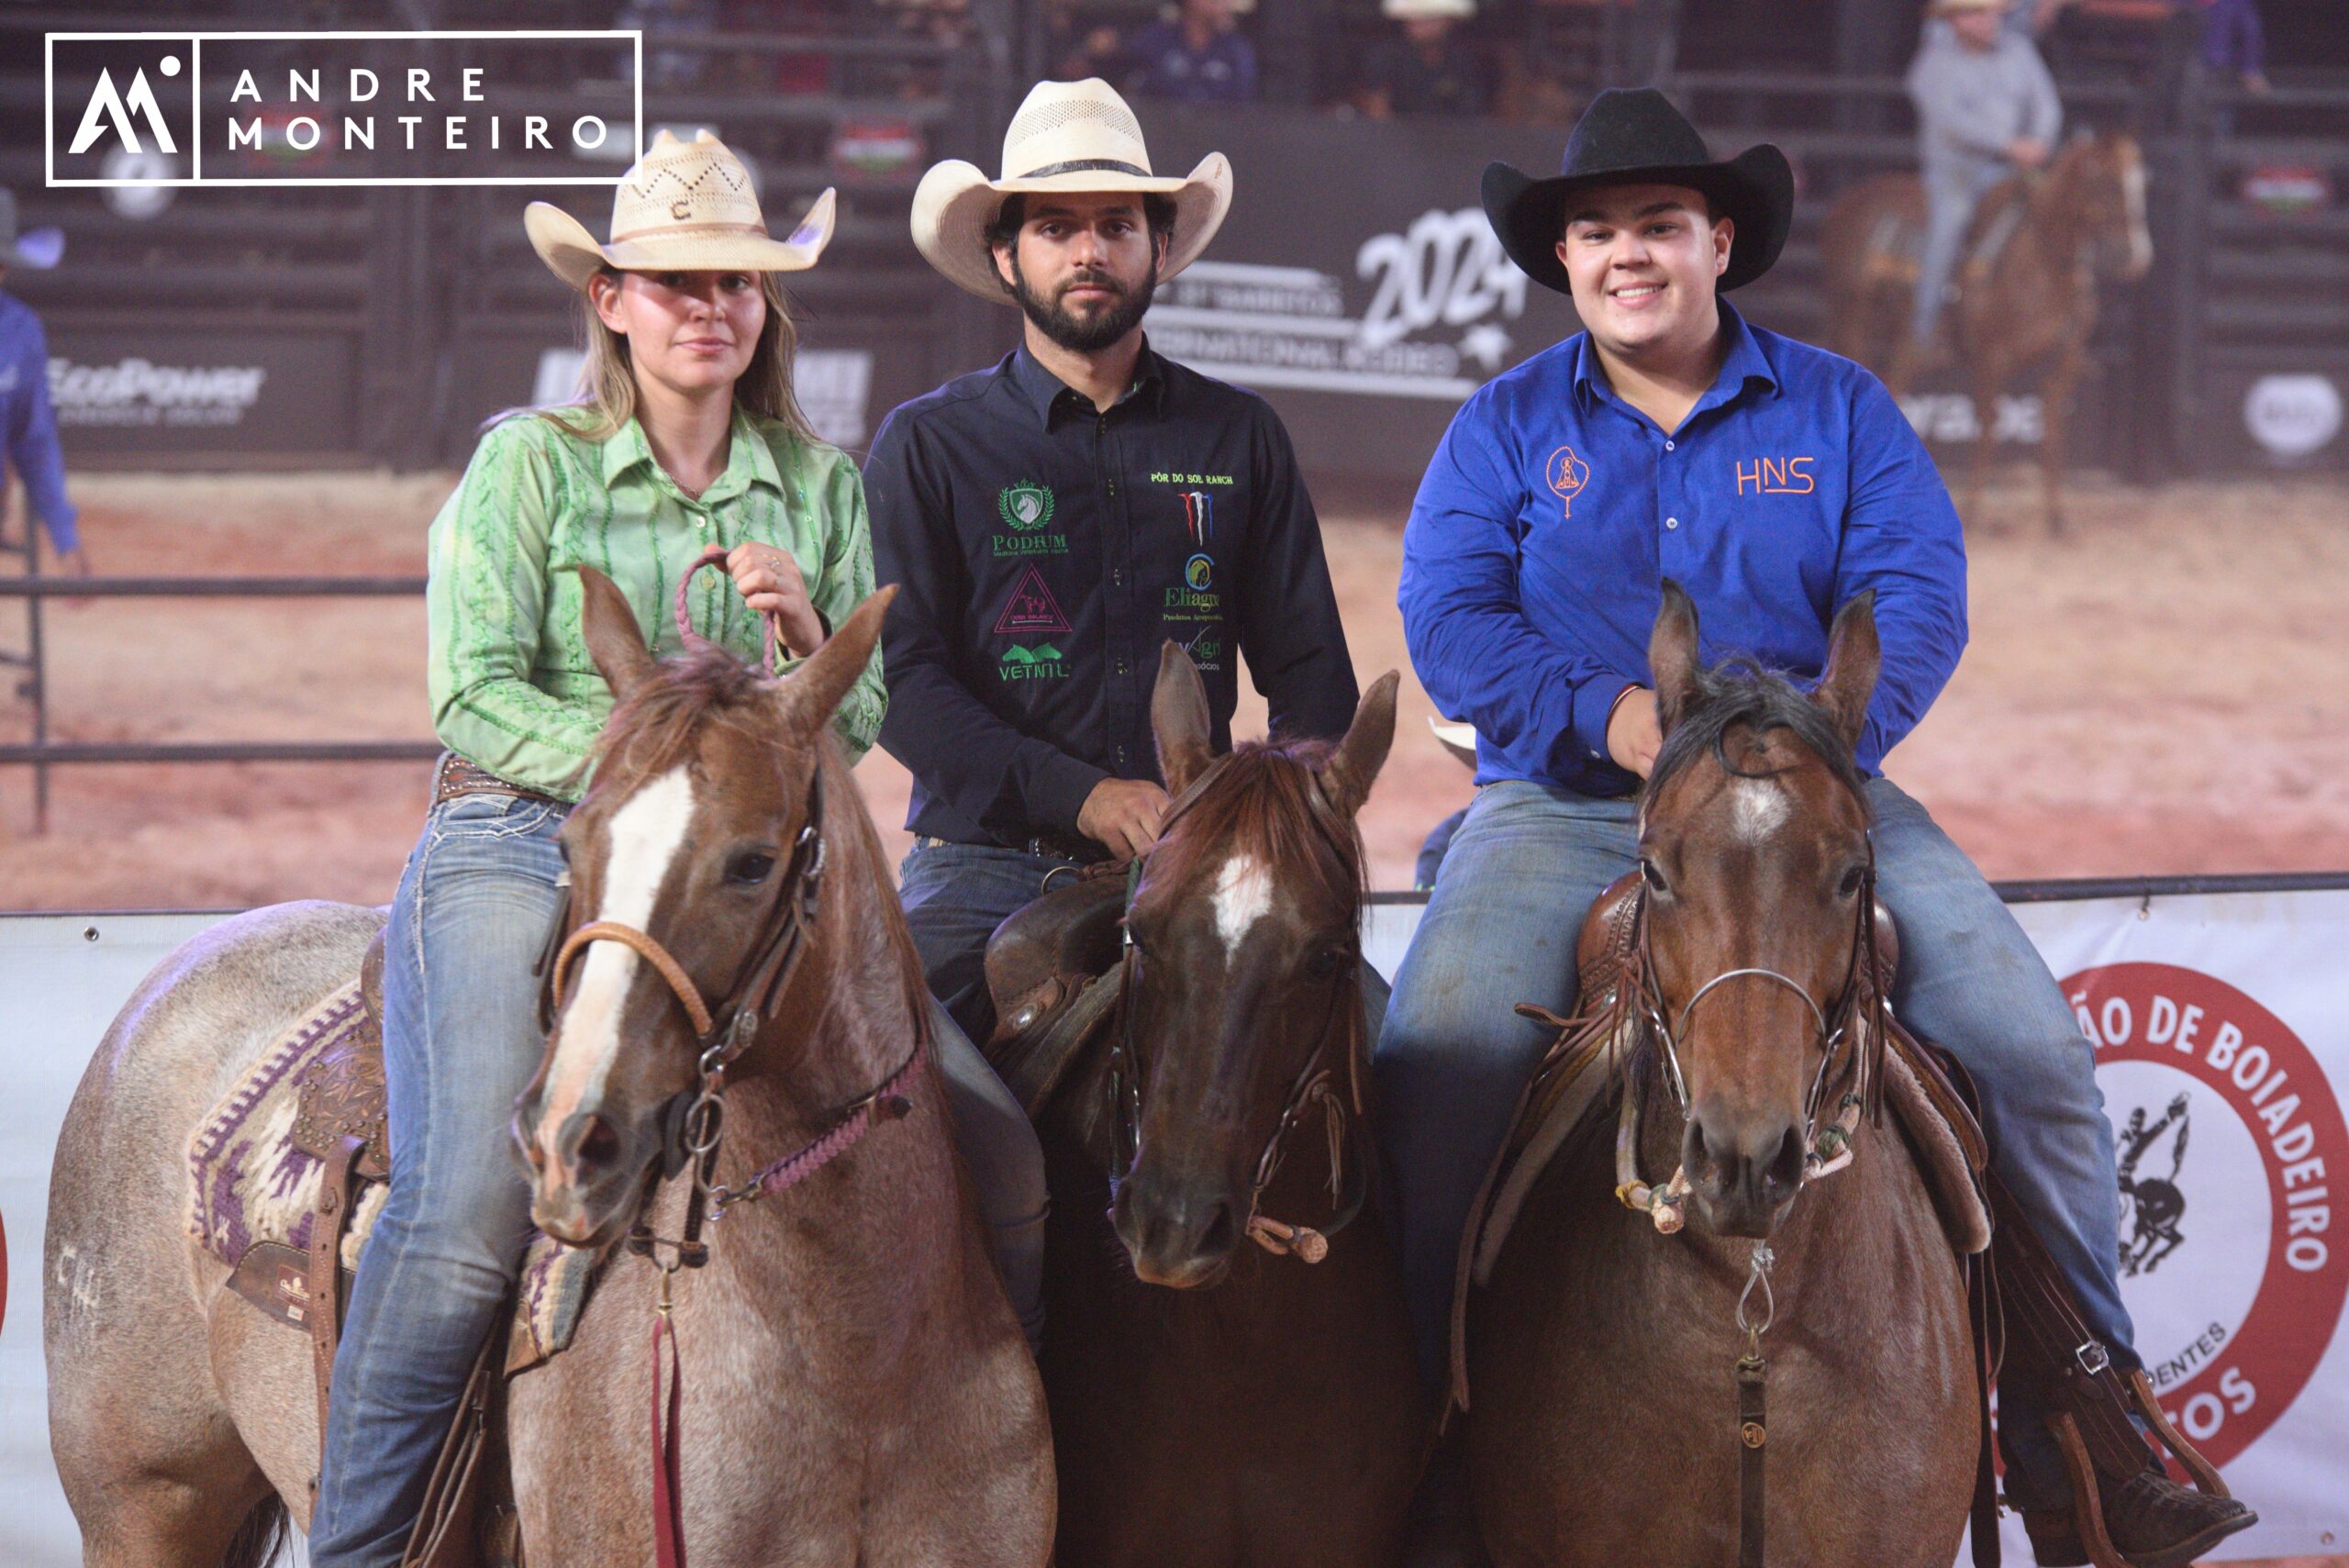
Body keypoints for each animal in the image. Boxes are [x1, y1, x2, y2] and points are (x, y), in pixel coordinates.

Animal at [43, 573, 1057, 1568]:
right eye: (573, 843)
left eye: (753, 862)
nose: (573, 1136)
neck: (855, 1359)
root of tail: (177, 972)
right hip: (142, 1506)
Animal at [1822, 129, 2151, 532]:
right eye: (2105, 182)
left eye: (2140, 183)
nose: (2134, 256)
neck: (2040, 264)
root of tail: (1848, 202)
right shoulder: (1991, 357)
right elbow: (1988, 427)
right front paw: (1974, 511)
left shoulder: (2064, 363)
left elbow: (2052, 430)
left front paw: (2056, 517)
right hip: (1851, 317)